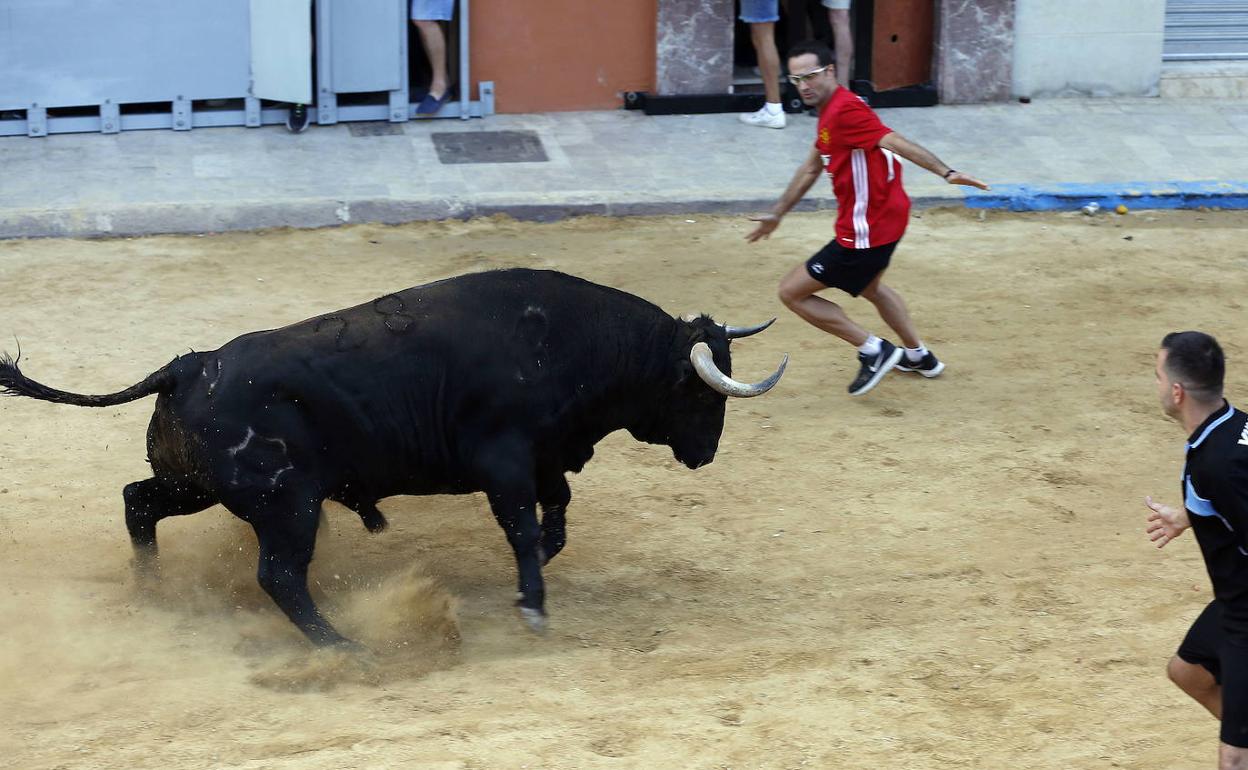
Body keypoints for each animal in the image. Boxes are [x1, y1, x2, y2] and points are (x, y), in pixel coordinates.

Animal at [0, 268, 783, 643]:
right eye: (701, 395)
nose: (706, 454)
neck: (563, 342)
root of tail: (189, 366)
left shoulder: (544, 460)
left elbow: (554, 516)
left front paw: (532, 576)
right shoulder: (503, 462)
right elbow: (524, 526)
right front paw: (532, 604)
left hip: (198, 486)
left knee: (138, 502)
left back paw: (153, 590)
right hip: (287, 505)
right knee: (279, 577)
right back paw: (344, 647)